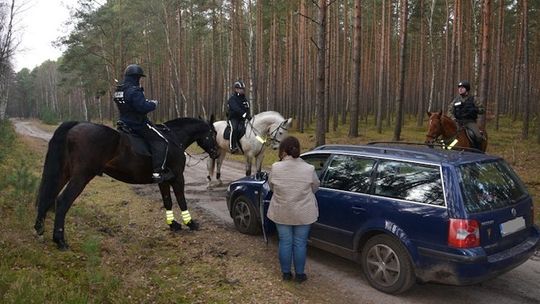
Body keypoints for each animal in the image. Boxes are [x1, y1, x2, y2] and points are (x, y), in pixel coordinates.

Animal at [34, 116, 219, 249]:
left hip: (64, 172)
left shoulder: (163, 179)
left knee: (48, 196)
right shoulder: (178, 177)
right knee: (62, 201)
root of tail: (76, 126)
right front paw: (191, 223)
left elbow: (167, 200)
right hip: (82, 176)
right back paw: (60, 240)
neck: (173, 138)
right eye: (213, 133)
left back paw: (39, 230)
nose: (216, 153)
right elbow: (181, 199)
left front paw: (173, 224)